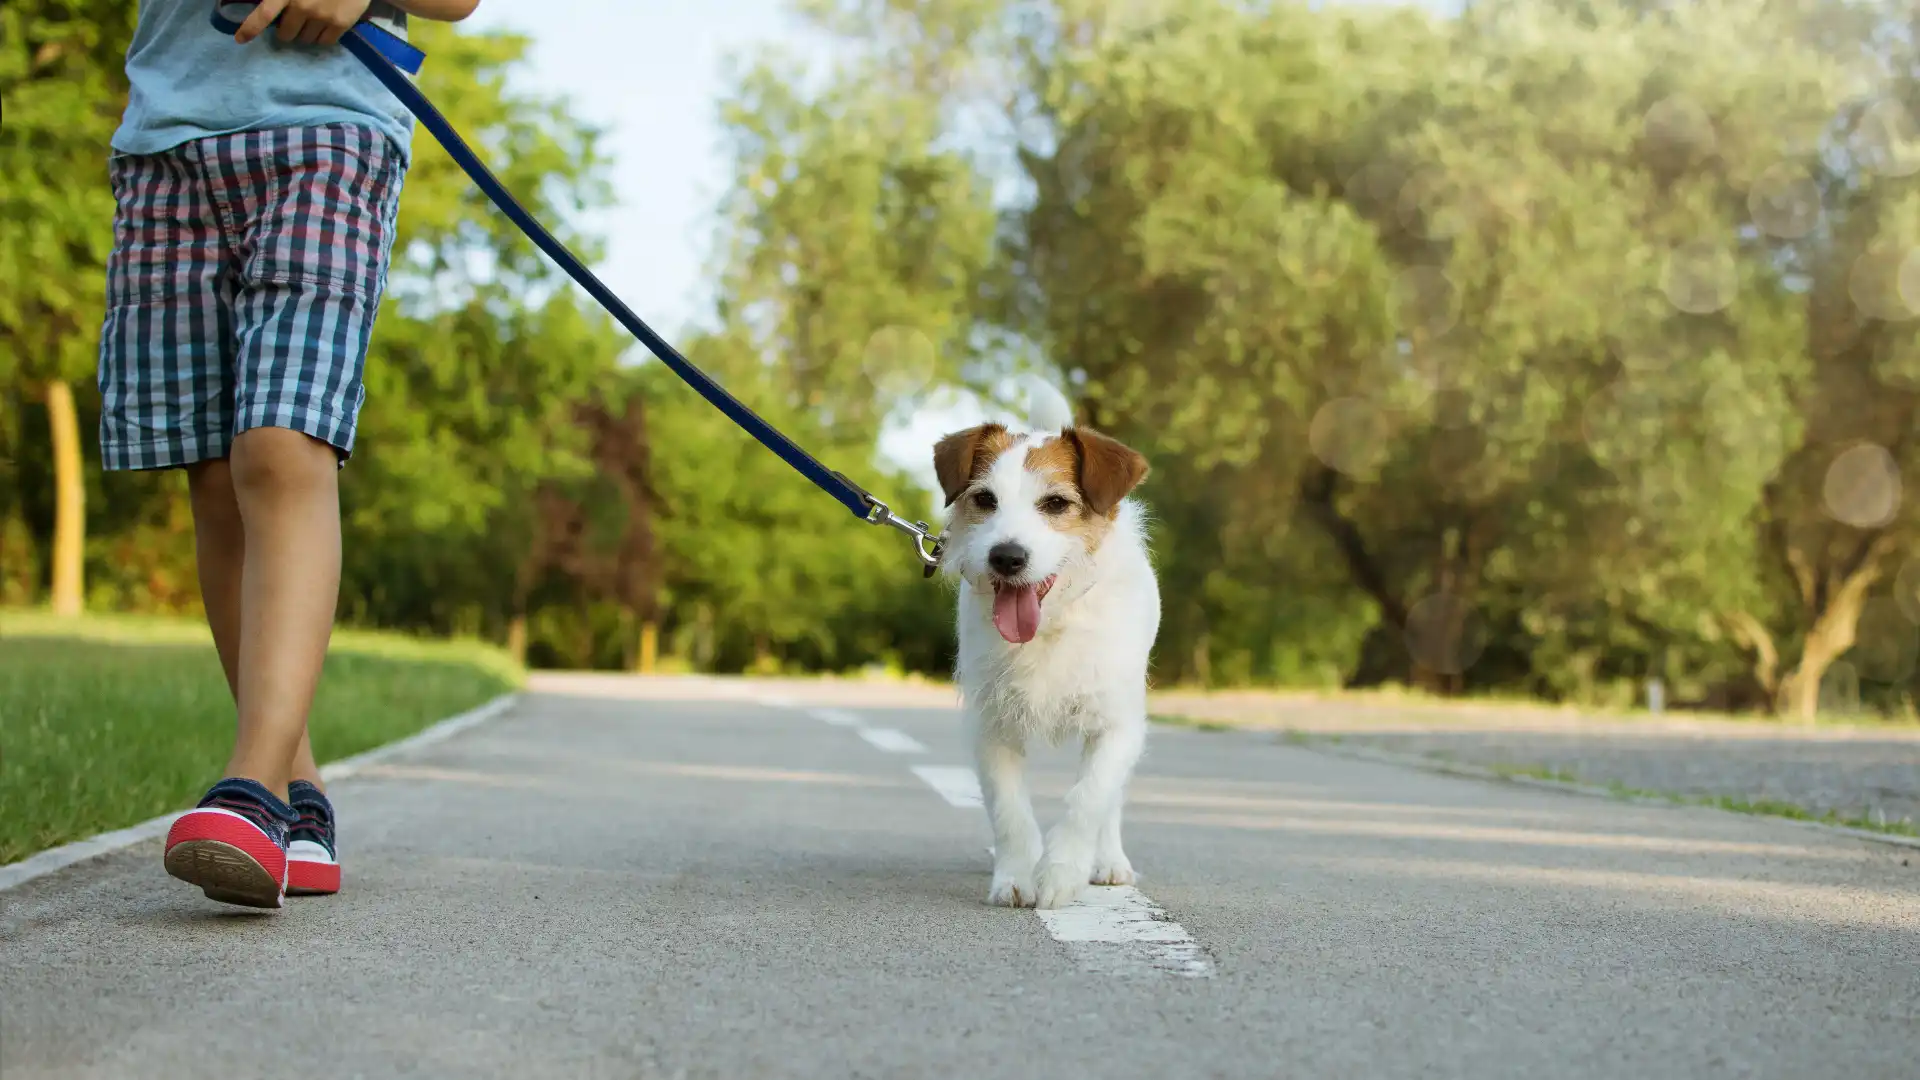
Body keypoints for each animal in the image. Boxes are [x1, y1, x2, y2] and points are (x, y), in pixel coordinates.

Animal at [929, 399, 1152, 903]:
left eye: (1055, 504)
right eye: (985, 500)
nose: (1007, 557)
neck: (1051, 625)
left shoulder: (1115, 725)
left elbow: (1089, 798)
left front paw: (1062, 873)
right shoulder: (991, 727)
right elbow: (1009, 811)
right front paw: (1015, 876)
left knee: (1111, 801)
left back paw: (1108, 861)